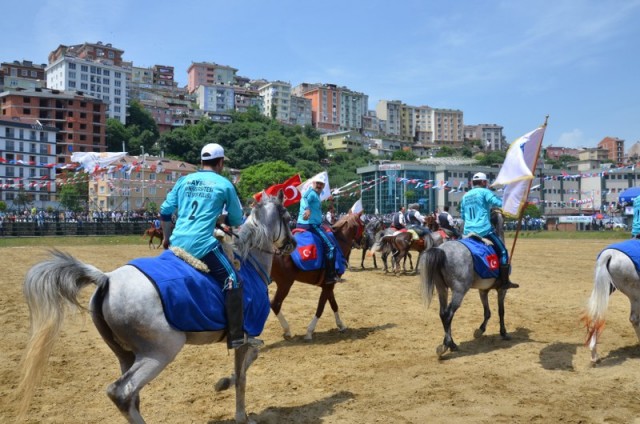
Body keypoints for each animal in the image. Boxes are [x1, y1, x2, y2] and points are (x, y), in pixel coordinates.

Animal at [18, 191, 296, 424]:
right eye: (288, 218)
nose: (292, 244)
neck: (248, 262)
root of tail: (107, 279)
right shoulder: (246, 336)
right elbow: (243, 376)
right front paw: (240, 411)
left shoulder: (247, 338)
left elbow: (245, 367)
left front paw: (223, 382)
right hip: (159, 352)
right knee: (122, 392)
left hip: (127, 355)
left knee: (131, 397)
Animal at [270, 212, 364, 342]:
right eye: (364, 224)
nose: (364, 241)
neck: (338, 242)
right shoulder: (328, 286)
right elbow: (321, 308)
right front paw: (309, 332)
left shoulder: (328, 285)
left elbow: (334, 305)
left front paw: (341, 325)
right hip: (285, 284)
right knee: (275, 304)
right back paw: (287, 330)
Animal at [420, 210, 510, 356]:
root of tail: (442, 250)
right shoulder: (502, 290)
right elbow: (501, 311)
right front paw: (503, 332)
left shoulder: (483, 290)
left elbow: (487, 312)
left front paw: (480, 330)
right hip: (459, 291)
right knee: (448, 314)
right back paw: (447, 345)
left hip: (441, 288)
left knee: (442, 313)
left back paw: (450, 344)